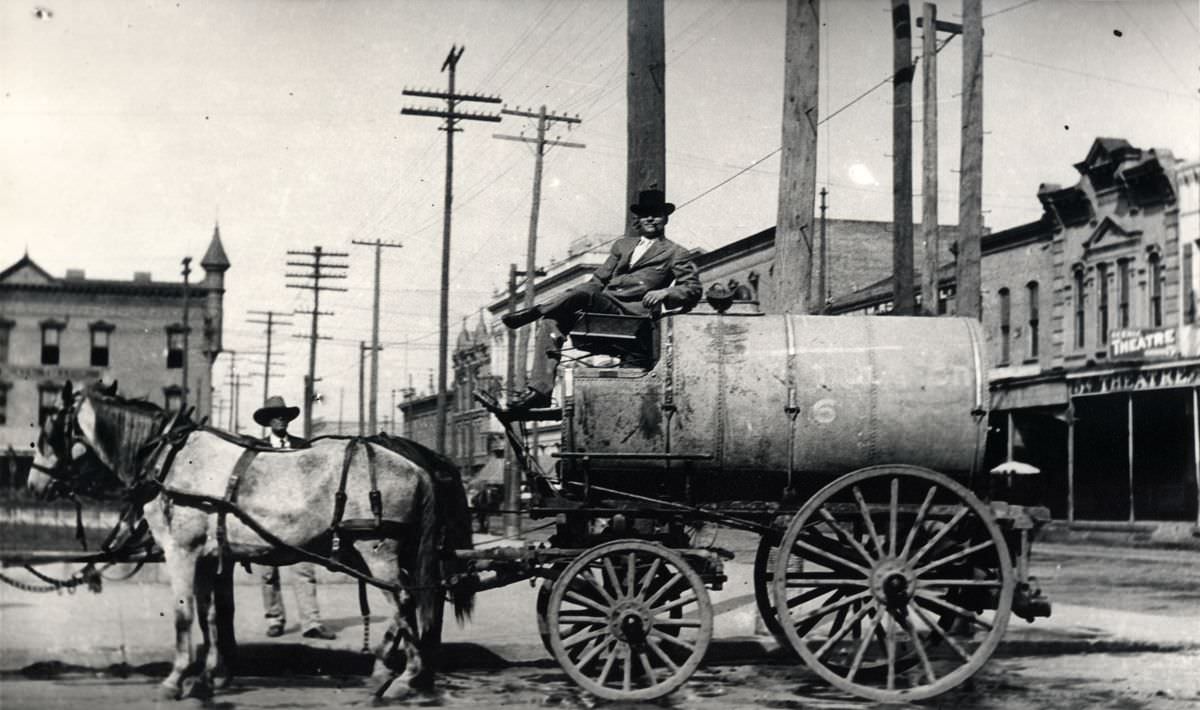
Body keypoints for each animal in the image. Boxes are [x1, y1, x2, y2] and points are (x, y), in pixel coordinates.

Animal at [28, 383, 472, 700]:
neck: (171, 458)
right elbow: (209, 615)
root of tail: (417, 465)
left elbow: (183, 614)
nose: (33, 484)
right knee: (415, 603)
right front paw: (208, 676)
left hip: (377, 548)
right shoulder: (209, 556)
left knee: (405, 602)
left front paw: (176, 679)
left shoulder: (181, 551)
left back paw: (404, 678)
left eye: (49, 432)